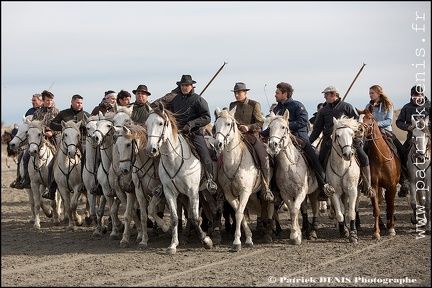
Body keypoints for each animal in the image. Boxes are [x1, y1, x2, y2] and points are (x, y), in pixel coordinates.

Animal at [145, 103, 213, 254]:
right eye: (146, 124)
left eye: (160, 123)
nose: (151, 150)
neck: (174, 160)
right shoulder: (169, 192)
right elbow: (175, 218)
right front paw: (172, 244)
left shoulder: (192, 192)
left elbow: (195, 217)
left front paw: (206, 241)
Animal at [213, 107, 276, 251]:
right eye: (215, 125)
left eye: (228, 124)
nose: (218, 144)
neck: (233, 162)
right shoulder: (230, 194)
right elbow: (239, 213)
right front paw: (248, 238)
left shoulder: (245, 191)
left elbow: (239, 214)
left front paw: (236, 242)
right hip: (253, 193)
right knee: (259, 207)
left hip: (266, 188)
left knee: (269, 204)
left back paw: (268, 233)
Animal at [266, 110, 320, 245]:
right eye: (270, 128)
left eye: (283, 127)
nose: (273, 144)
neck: (290, 166)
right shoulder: (285, 193)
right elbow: (292, 210)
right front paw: (296, 233)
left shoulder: (301, 190)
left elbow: (295, 209)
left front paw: (295, 236)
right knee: (304, 208)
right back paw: (305, 228)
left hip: (313, 192)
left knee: (315, 209)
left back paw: (312, 231)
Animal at [326, 115, 360, 243]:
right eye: (338, 135)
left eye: (351, 134)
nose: (348, 154)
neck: (342, 166)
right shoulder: (334, 192)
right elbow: (340, 215)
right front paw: (343, 230)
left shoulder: (352, 191)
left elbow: (351, 214)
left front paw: (353, 235)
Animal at [356, 105, 400, 238]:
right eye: (357, 118)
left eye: (369, 117)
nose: (359, 130)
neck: (381, 159)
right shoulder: (374, 186)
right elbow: (376, 209)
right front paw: (376, 232)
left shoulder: (392, 186)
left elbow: (391, 206)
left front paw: (392, 229)